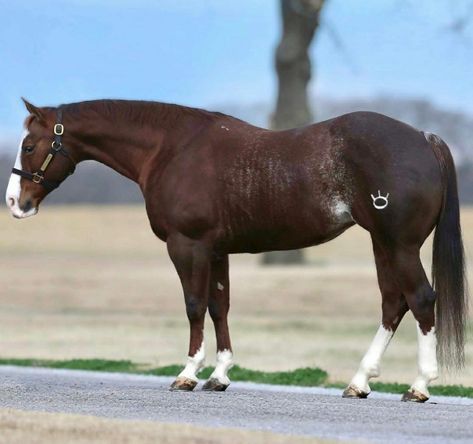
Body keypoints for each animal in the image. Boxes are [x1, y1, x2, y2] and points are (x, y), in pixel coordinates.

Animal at [5, 99, 466, 400]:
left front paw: (188, 373)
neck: (171, 148)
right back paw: (359, 382)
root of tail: (423, 138)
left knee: (421, 299)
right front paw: (220, 375)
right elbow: (219, 306)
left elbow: (194, 306)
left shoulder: (187, 245)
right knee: (393, 303)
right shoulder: (215, 250)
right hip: (381, 242)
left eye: (29, 146)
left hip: (399, 244)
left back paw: (419, 386)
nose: (14, 202)